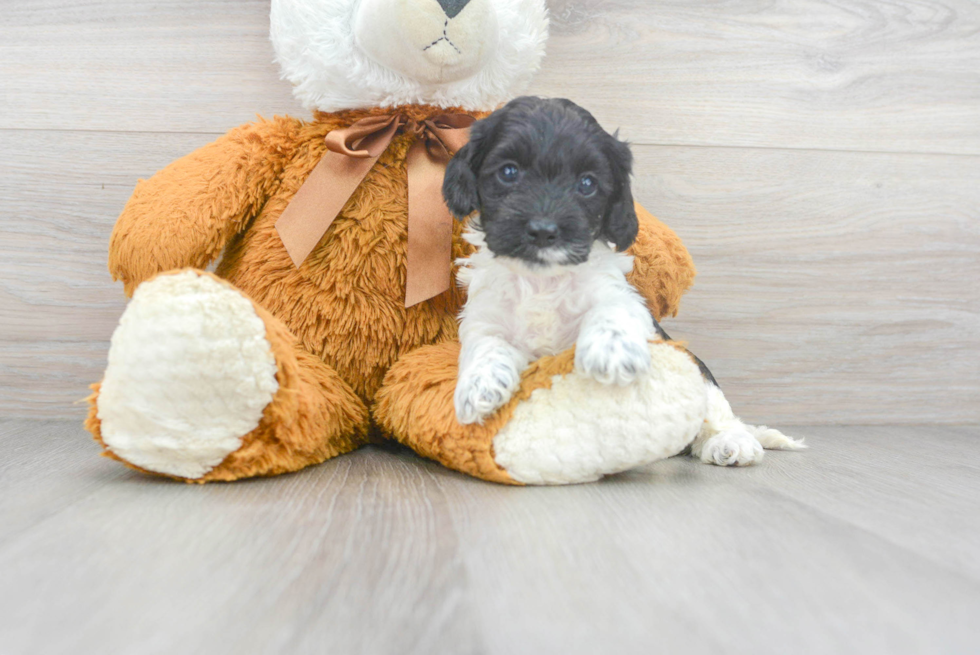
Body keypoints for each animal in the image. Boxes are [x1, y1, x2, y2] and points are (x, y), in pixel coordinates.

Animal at [444, 96, 804, 466]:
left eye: (587, 183)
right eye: (509, 172)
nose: (544, 230)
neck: (544, 280)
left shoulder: (621, 296)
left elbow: (611, 308)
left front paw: (612, 350)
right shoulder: (485, 317)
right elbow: (486, 344)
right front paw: (479, 386)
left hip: (698, 371)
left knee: (718, 413)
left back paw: (731, 442)